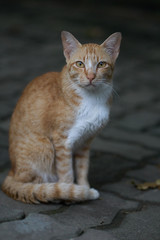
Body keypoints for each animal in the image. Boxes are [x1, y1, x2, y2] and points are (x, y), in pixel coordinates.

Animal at [1, 31, 121, 203]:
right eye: (80, 64)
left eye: (101, 64)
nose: (91, 76)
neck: (92, 99)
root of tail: (11, 171)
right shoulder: (62, 141)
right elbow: (67, 172)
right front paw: (71, 192)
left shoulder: (85, 142)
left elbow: (82, 169)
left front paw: (83, 187)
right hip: (45, 147)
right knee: (32, 185)